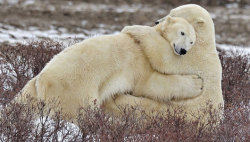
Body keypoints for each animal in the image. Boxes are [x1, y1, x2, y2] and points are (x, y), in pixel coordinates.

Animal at [14, 16, 201, 121]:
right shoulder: (140, 60)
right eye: (182, 33)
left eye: (192, 41)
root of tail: (42, 80)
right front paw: (197, 82)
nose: (183, 50)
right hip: (74, 89)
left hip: (33, 90)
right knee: (77, 112)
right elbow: (150, 83)